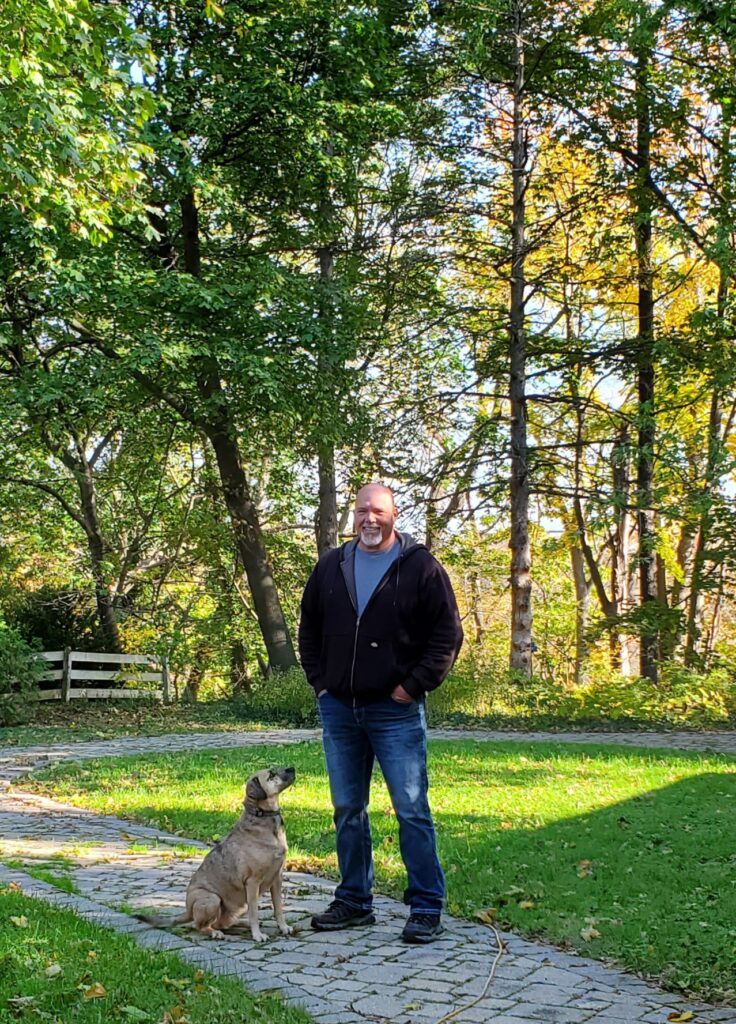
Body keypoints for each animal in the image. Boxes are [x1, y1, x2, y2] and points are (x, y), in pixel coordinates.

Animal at [139, 770, 294, 942]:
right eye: (271, 774)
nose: (292, 768)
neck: (262, 817)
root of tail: (188, 910)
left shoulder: (277, 878)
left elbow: (278, 907)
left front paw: (283, 927)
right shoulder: (252, 882)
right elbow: (254, 912)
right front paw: (258, 934)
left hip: (237, 906)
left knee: (223, 923)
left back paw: (242, 924)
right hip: (212, 899)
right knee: (201, 926)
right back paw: (214, 932)